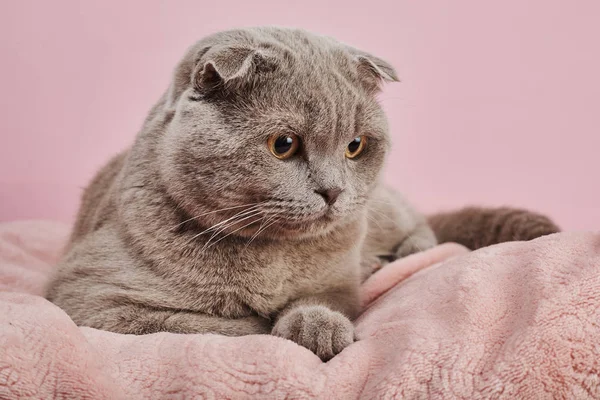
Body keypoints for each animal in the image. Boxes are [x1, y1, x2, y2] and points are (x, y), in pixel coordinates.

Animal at [45, 26, 556, 360]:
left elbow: (330, 300)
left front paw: (317, 325)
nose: (332, 191)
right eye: (283, 145)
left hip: (379, 206)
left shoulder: (337, 280)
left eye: (355, 146)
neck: (272, 257)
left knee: (421, 223)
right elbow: (213, 325)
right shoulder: (90, 298)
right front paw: (269, 322)